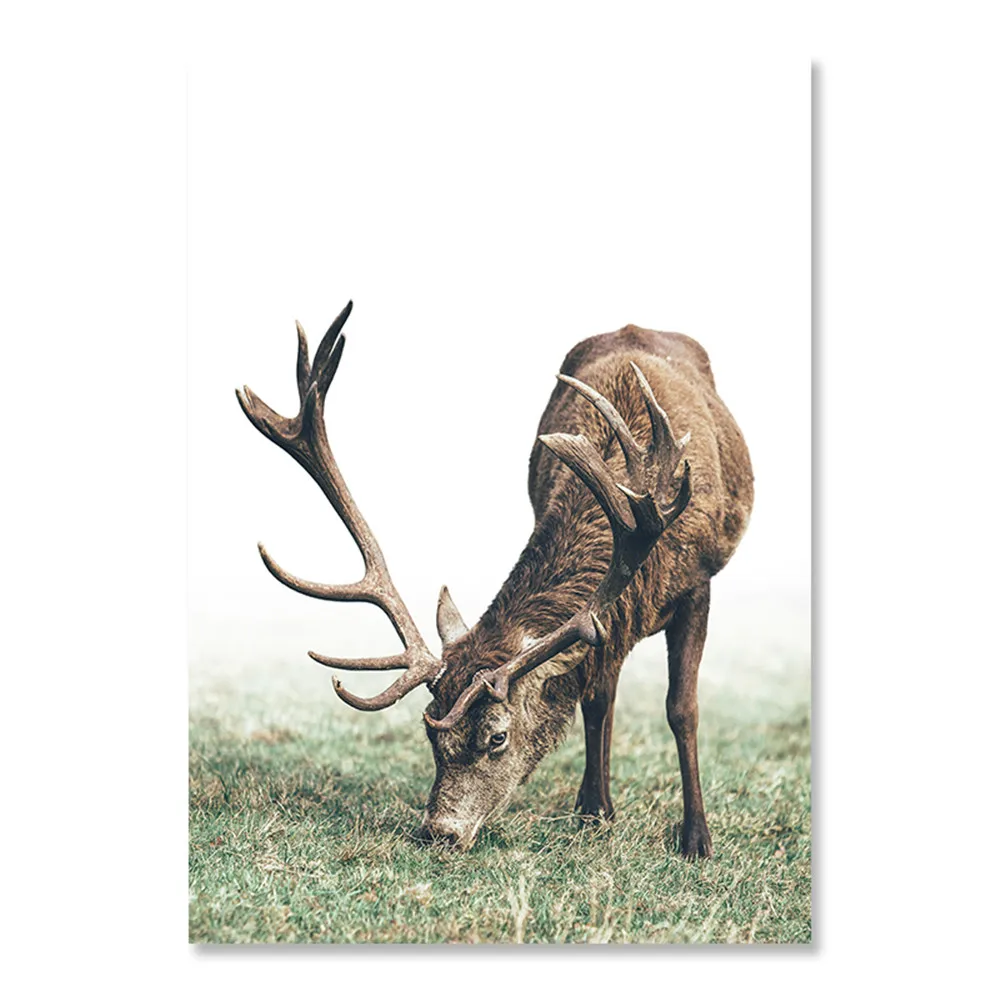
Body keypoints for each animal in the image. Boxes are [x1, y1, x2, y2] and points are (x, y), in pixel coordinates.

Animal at [236, 301, 753, 856]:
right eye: (432, 735)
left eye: (497, 737)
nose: (439, 831)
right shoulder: (607, 623)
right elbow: (596, 696)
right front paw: (594, 811)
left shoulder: (698, 584)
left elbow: (682, 708)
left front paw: (696, 838)